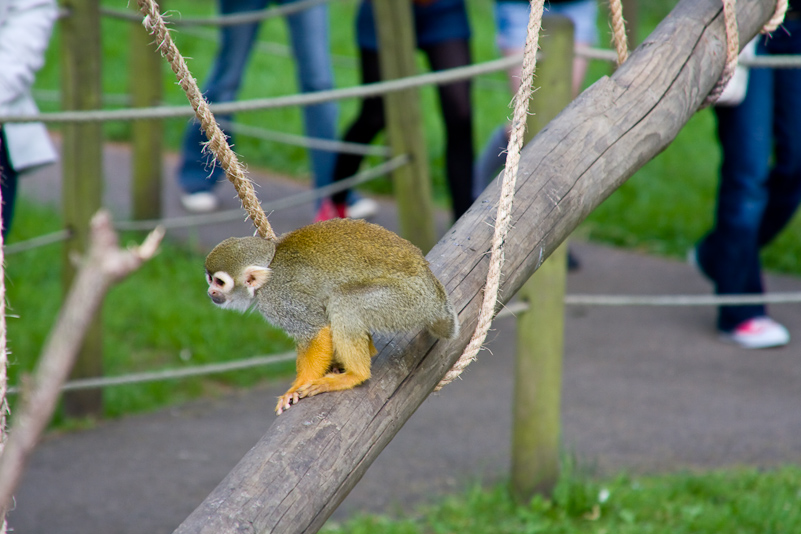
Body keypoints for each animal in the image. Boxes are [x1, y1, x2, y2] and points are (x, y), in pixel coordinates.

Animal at [203, 218, 460, 414]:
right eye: (210, 279)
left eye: (220, 282)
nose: (210, 292)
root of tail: (434, 292)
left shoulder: (279, 300)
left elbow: (316, 331)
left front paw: (296, 387)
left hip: (408, 301)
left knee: (345, 302)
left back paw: (356, 375)